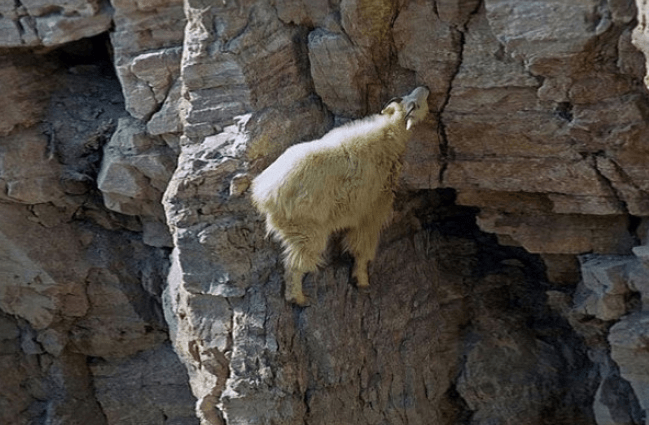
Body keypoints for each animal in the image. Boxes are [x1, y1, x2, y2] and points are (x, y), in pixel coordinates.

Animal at [251, 87, 428, 304]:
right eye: (415, 105)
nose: (425, 89)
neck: (390, 135)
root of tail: (264, 194)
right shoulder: (372, 210)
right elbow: (362, 248)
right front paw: (361, 279)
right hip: (306, 228)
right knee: (296, 263)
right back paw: (299, 298)